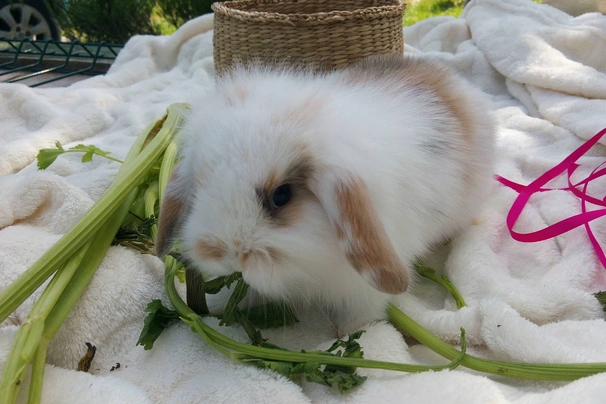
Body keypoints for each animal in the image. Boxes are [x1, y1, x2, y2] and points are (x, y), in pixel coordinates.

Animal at [154, 54, 496, 332]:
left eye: (281, 196)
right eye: (201, 186)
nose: (229, 255)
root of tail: (458, 81)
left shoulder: (362, 289)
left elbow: (360, 317)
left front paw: (344, 335)